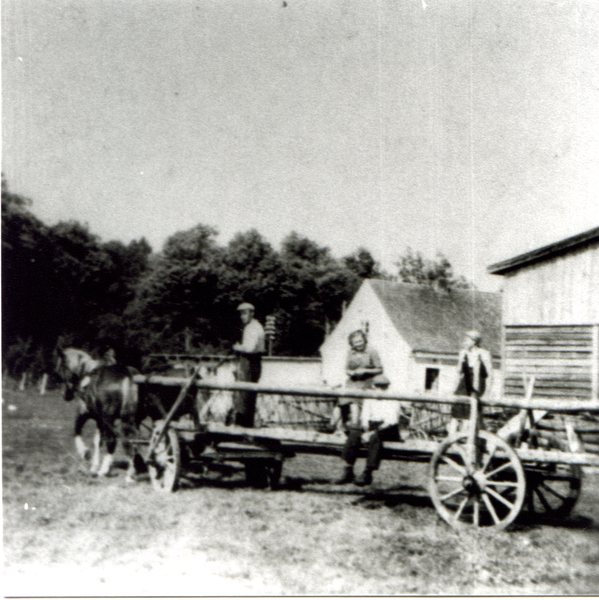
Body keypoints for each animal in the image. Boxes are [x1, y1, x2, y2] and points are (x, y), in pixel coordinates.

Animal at [54, 346, 139, 478]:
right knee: (132, 440)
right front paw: (94, 466)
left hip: (108, 418)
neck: (87, 374)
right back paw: (131, 471)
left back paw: (104, 470)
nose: (65, 395)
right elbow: (97, 441)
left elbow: (77, 431)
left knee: (112, 440)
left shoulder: (84, 413)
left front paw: (85, 453)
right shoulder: (100, 420)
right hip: (129, 418)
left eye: (59, 369)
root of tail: (126, 375)